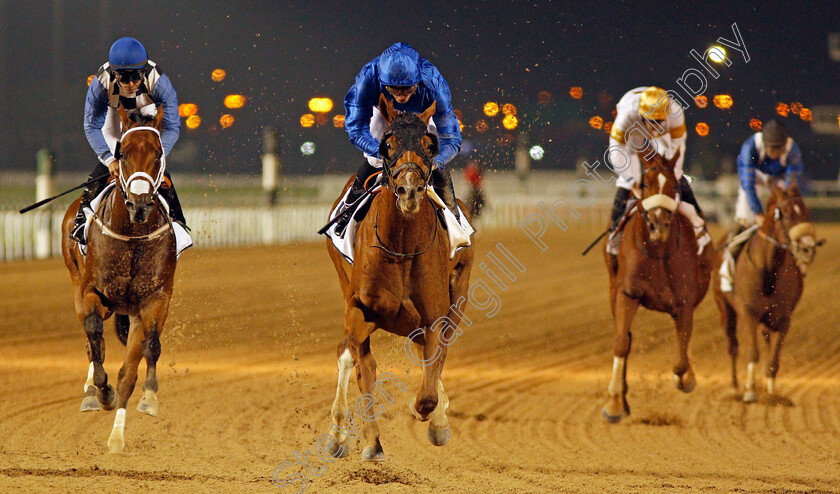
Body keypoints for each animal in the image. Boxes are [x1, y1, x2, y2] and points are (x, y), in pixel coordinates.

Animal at [60, 106, 177, 454]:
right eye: (122, 154)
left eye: (158, 153)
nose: (139, 205)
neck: (132, 236)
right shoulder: (91, 292)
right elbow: (94, 334)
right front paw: (100, 390)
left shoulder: (153, 300)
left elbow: (143, 355)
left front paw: (148, 399)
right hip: (79, 287)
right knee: (92, 340)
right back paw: (91, 392)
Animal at [326, 94, 476, 462]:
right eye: (388, 144)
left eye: (429, 144)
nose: (409, 190)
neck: (403, 245)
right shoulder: (359, 307)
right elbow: (350, 355)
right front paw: (338, 435)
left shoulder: (435, 316)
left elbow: (429, 388)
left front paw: (435, 419)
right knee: (366, 363)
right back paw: (372, 442)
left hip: (459, 296)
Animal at [600, 149, 712, 422]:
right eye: (646, 184)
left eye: (673, 186)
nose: (658, 225)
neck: (658, 251)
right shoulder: (626, 294)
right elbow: (621, 342)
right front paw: (614, 404)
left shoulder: (684, 304)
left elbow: (681, 357)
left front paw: (687, 379)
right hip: (613, 291)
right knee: (627, 338)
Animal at [712, 183, 824, 404]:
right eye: (786, 214)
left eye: (806, 212)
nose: (808, 248)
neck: (768, 269)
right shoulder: (748, 315)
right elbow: (753, 353)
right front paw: (750, 391)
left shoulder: (783, 319)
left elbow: (773, 357)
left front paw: (771, 393)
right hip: (725, 309)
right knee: (733, 345)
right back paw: (735, 386)